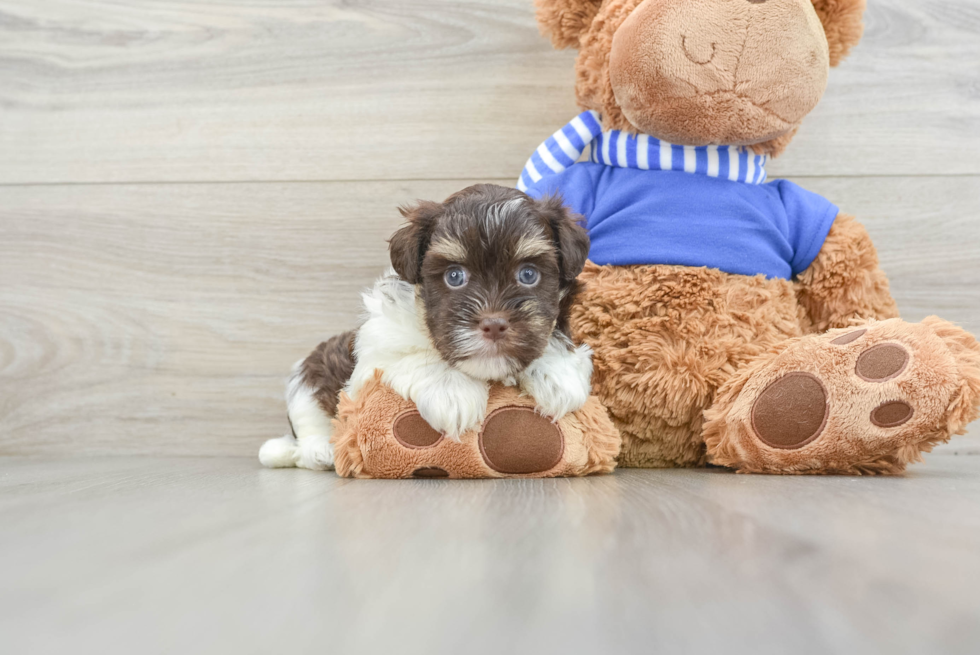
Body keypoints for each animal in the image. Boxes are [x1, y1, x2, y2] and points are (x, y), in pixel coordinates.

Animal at [260, 184, 592, 472]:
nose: (494, 324)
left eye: (528, 274)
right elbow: (411, 353)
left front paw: (555, 372)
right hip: (310, 378)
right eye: (455, 276)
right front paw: (451, 390)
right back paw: (320, 450)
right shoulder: (374, 351)